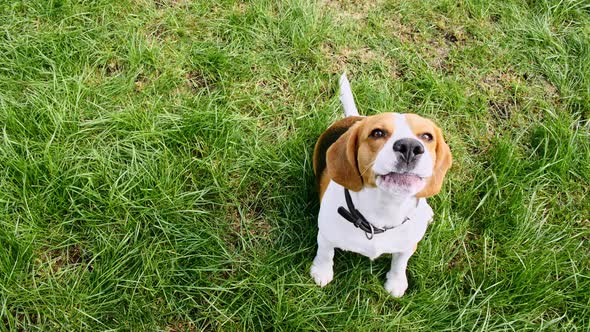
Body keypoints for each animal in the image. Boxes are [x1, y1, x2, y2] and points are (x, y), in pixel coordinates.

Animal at [310, 74, 454, 296]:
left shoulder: (408, 245)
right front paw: (321, 271)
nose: (410, 147)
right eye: (377, 133)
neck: (384, 210)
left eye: (427, 136)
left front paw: (396, 282)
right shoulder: (325, 234)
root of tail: (355, 118)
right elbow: (325, 253)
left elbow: (400, 263)